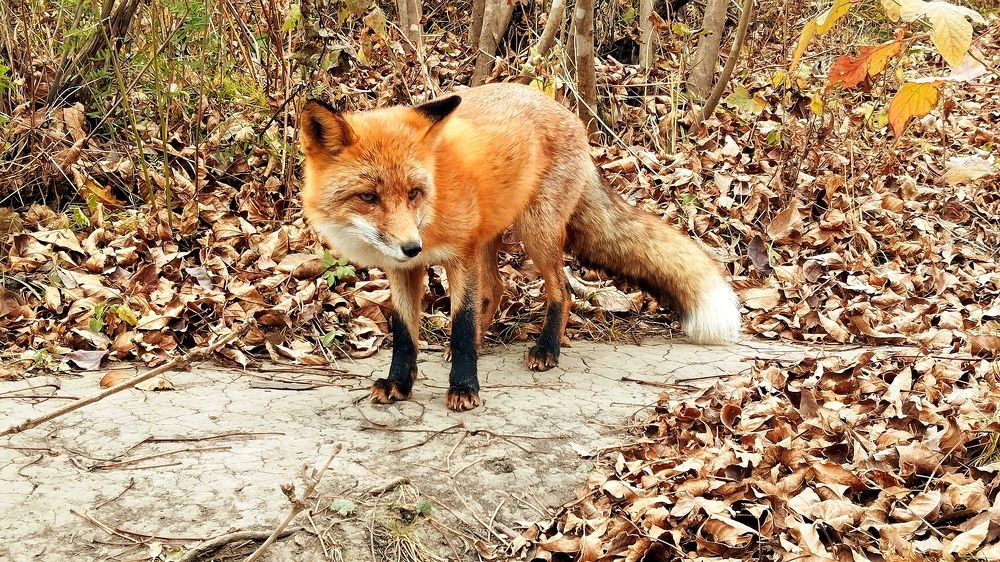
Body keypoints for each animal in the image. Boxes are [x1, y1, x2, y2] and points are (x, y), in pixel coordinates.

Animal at [298, 82, 741, 411]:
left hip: (535, 233)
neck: (433, 207)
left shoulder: (457, 256)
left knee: (562, 290)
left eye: (413, 193)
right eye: (368, 197)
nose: (411, 245)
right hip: (491, 238)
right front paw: (399, 384)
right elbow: (405, 332)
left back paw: (547, 348)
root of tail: (568, 112)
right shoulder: (405, 268)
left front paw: (464, 388)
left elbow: (460, 323)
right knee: (497, 289)